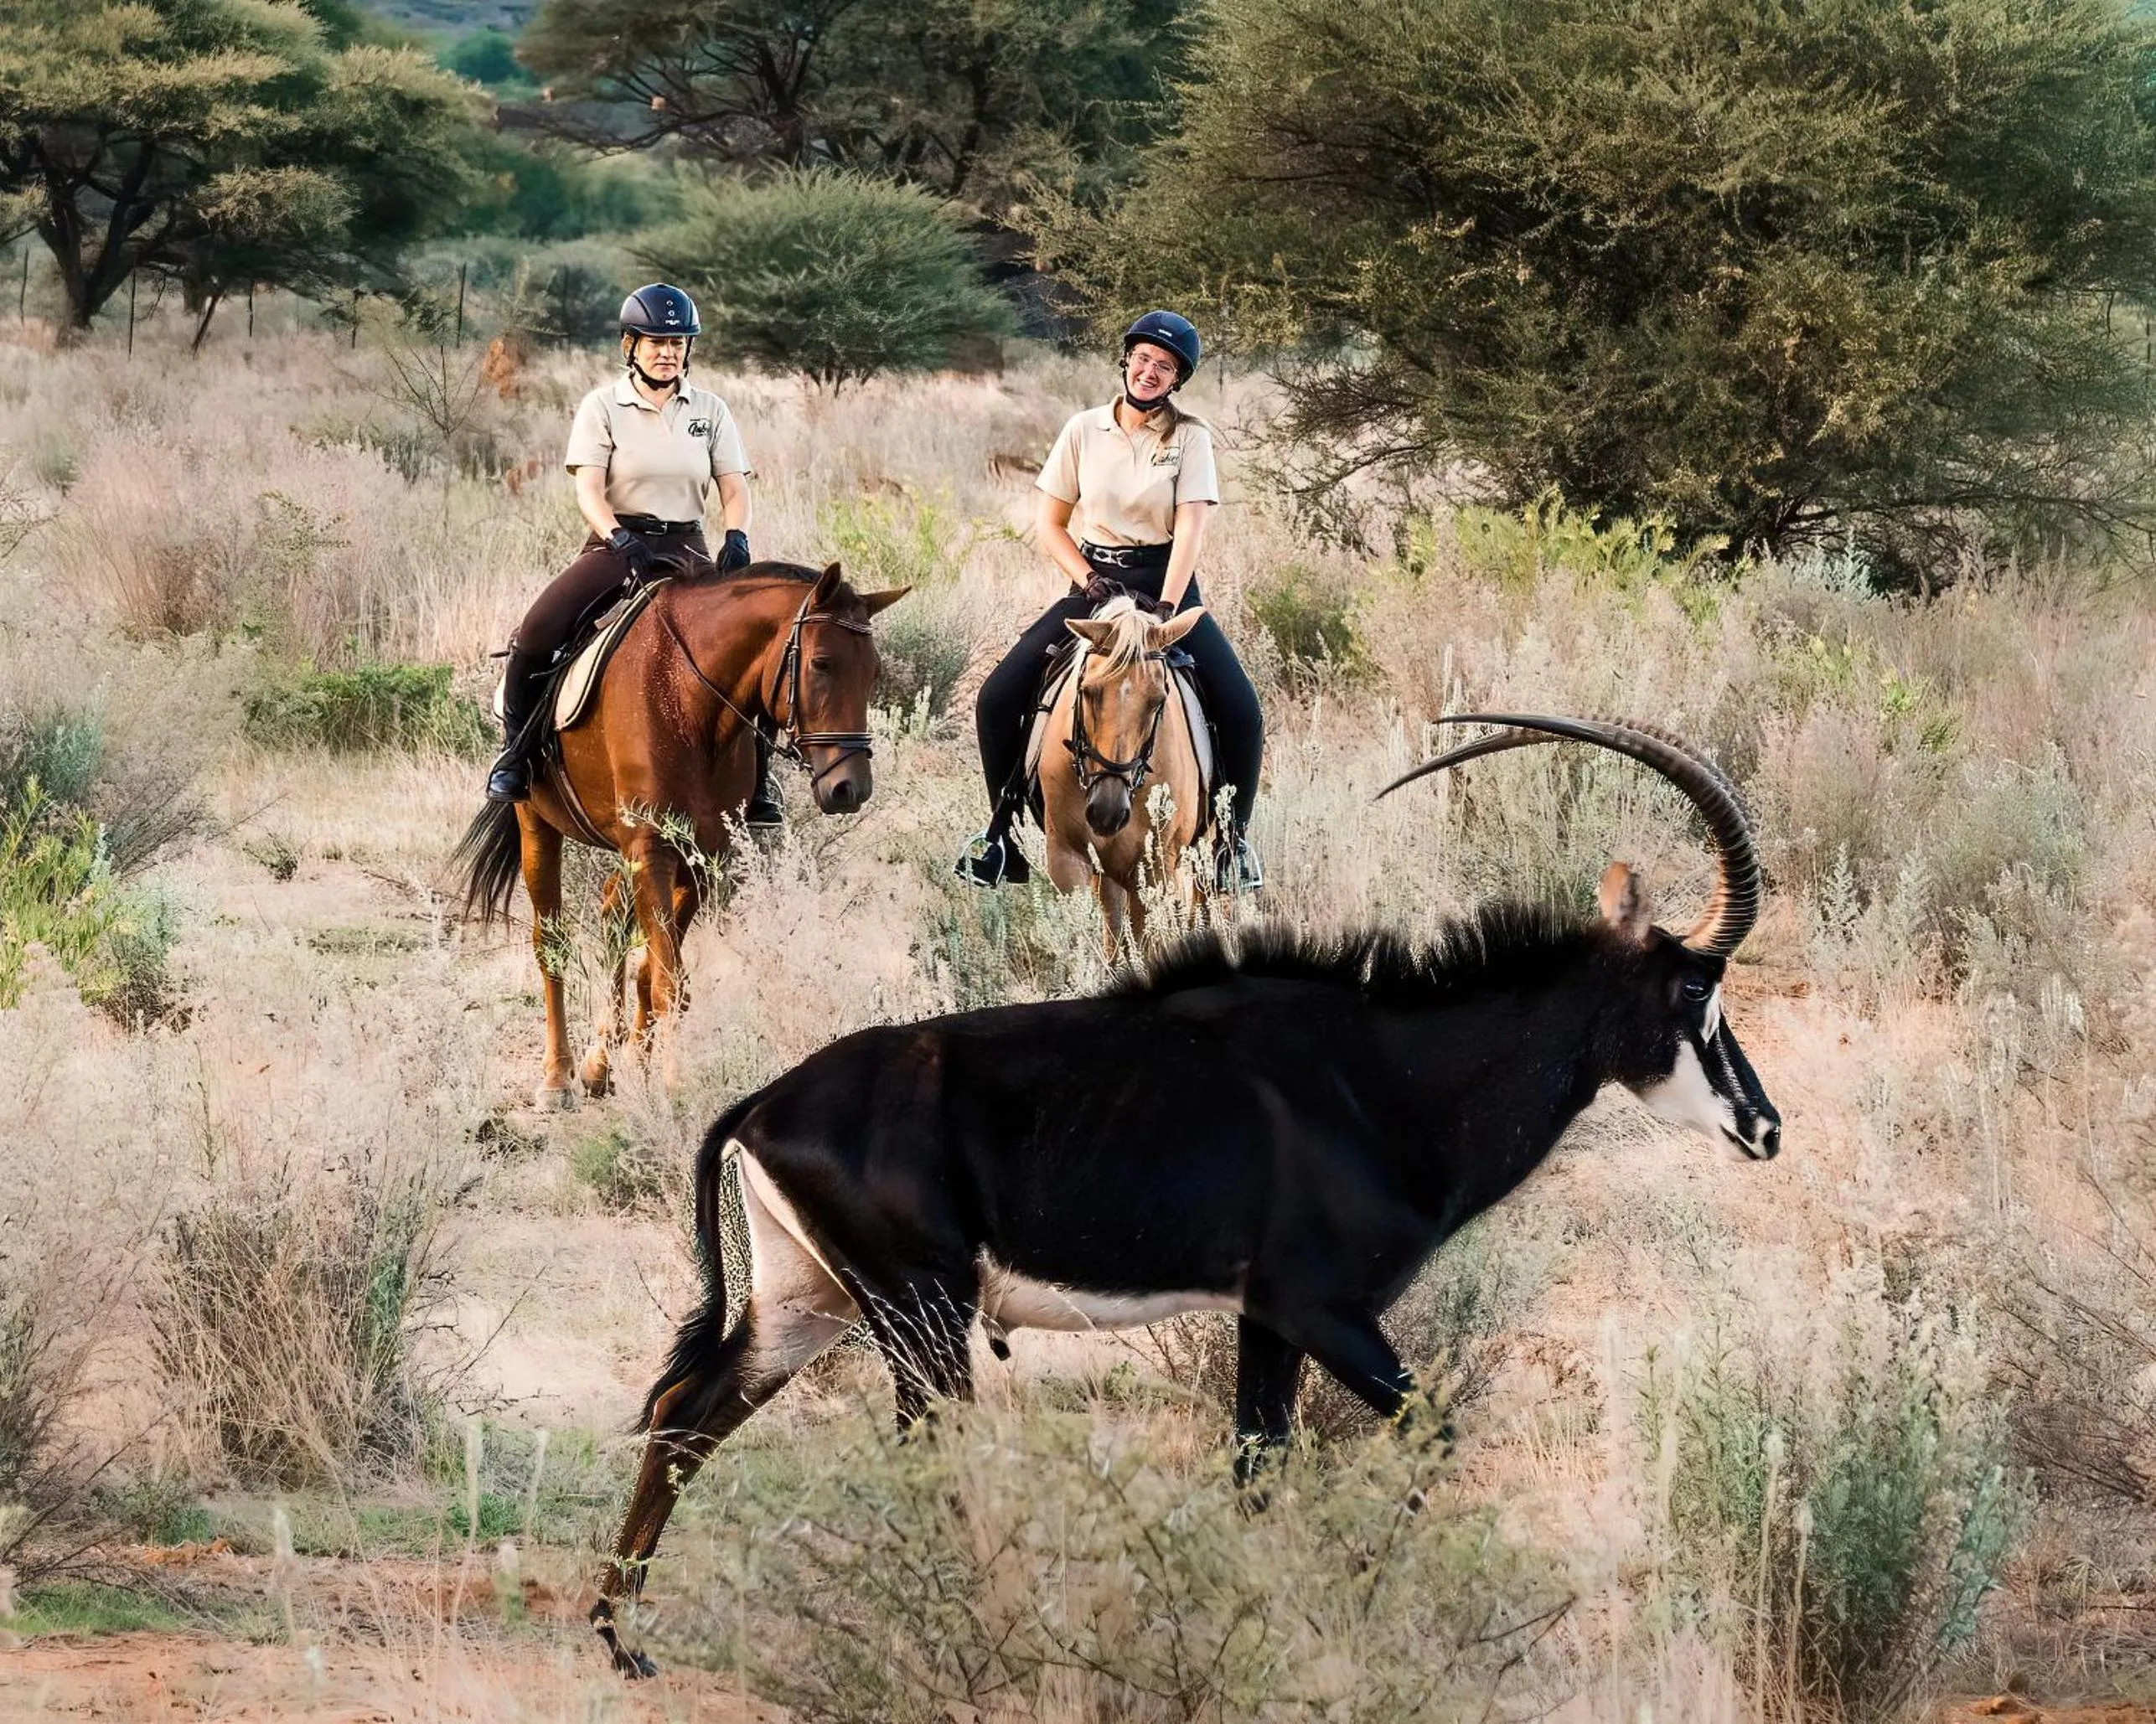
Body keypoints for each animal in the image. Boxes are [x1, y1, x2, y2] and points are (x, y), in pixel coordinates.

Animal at [451, 561, 906, 1106]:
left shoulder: (705, 856)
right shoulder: (652, 850)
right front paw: (673, 1084)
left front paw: (639, 1065)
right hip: (536, 824)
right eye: (821, 663)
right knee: (552, 942)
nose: (850, 788)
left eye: (874, 672)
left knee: (612, 913)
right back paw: (558, 1077)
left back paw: (600, 1063)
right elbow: (668, 980)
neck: (688, 698)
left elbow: (657, 971)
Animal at [1040, 596, 1208, 959]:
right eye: (1088, 691)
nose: (1107, 812)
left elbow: (1144, 944)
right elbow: (1088, 940)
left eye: (1158, 701)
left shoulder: (1155, 868)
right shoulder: (1066, 857)